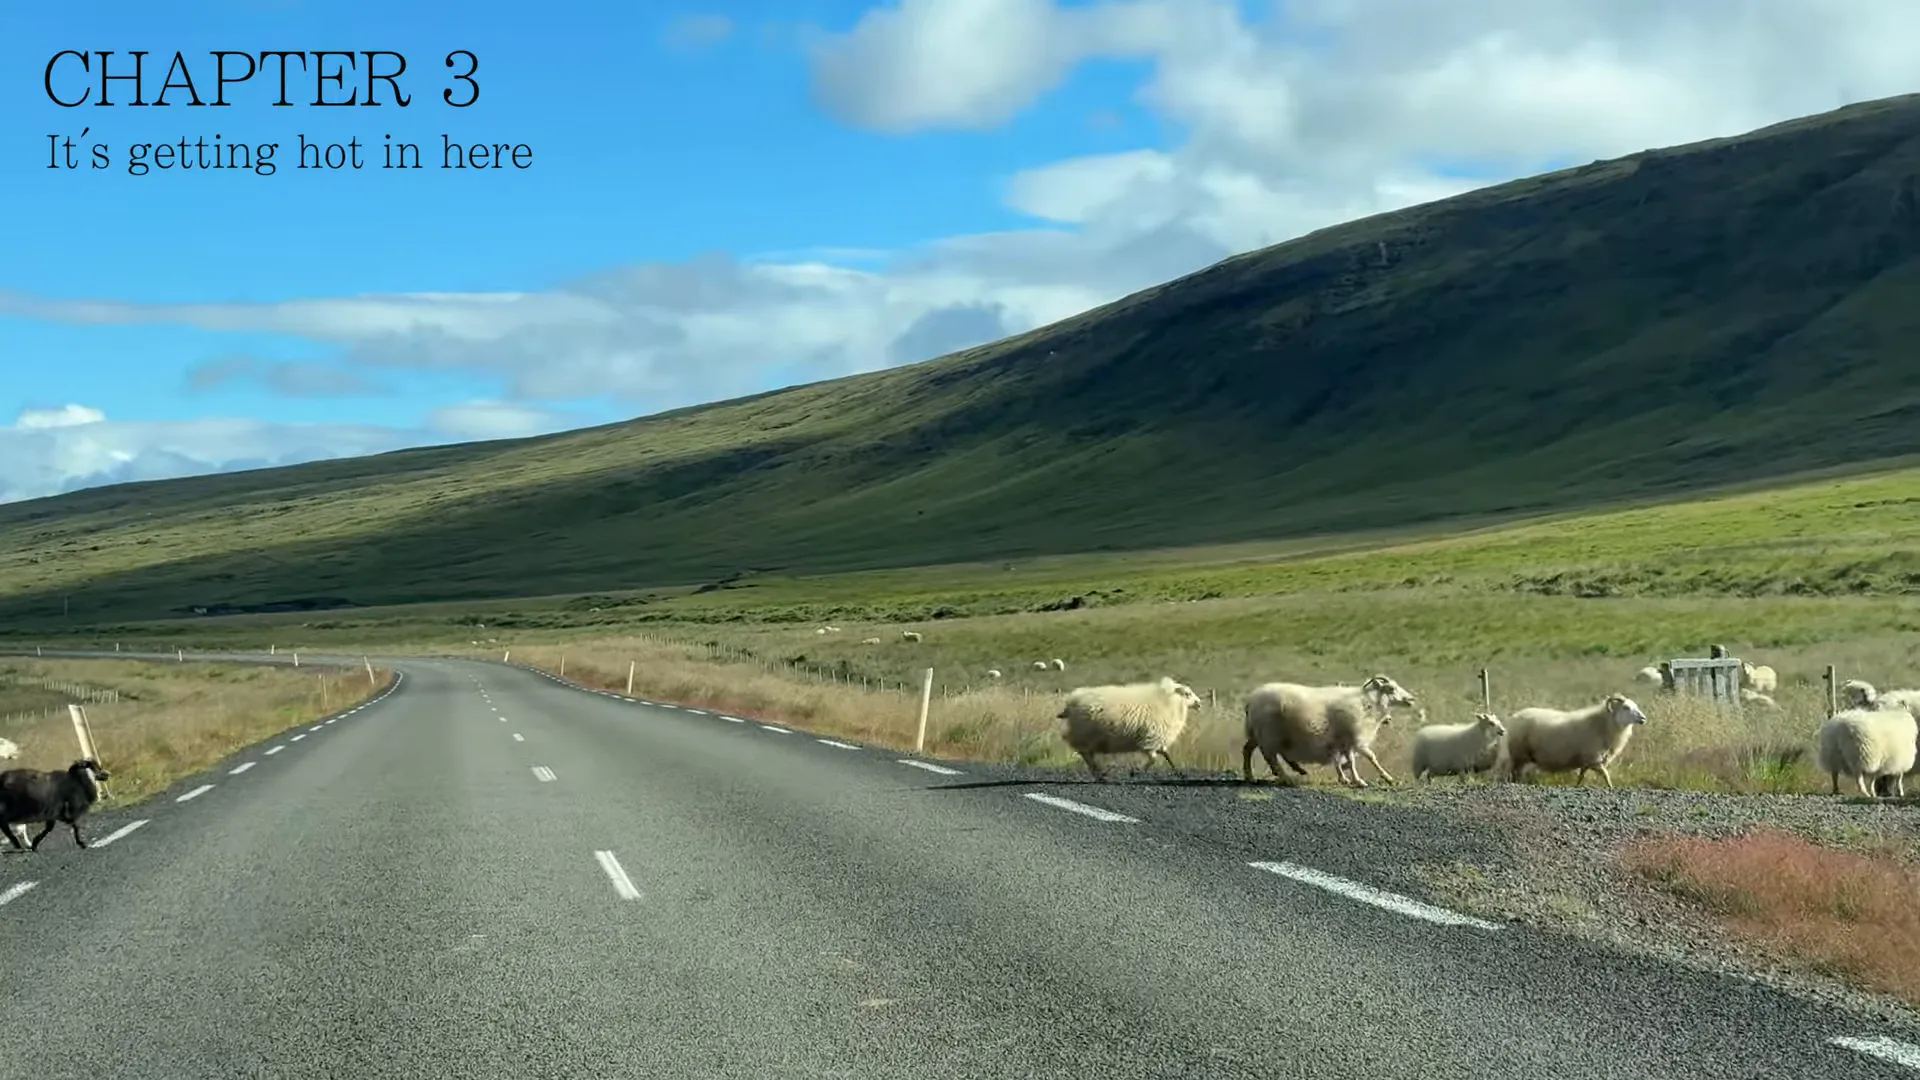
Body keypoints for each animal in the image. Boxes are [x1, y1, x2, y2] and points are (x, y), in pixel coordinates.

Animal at [1052, 672, 1198, 772]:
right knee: (1085, 754)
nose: (1199, 703)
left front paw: (1177, 771)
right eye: (1187, 694)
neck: (1168, 703)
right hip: (1084, 735)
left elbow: (1166, 756)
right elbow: (1153, 759)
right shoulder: (1151, 739)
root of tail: (1072, 702)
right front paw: (1138, 771)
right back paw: (1099, 773)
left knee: (1086, 754)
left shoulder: (1158, 740)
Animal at [1236, 668, 1420, 787]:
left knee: (1247, 750)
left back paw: (1252, 776)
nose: (1411, 699)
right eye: (1391, 688)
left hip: (1258, 734)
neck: (1367, 703)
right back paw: (1287, 778)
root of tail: (1251, 701)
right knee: (1271, 757)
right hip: (1269, 734)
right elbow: (1370, 757)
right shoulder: (1355, 738)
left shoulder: (1344, 740)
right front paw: (1384, 778)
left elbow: (1346, 760)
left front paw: (1349, 779)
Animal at [1489, 691, 1643, 787]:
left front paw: (1577, 787)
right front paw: (1611, 788)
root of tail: (1513, 718)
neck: (1604, 724)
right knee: (1509, 774)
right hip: (1517, 754)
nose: (1643, 718)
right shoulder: (1594, 759)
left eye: (1635, 706)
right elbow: (1606, 776)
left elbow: (1581, 777)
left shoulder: (1587, 762)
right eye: (1626, 707)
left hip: (1520, 757)